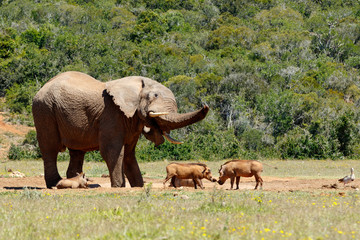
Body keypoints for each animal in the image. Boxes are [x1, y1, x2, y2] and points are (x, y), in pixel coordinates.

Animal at [32, 71, 210, 188]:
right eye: (155, 96)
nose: (205, 105)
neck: (136, 85)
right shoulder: (111, 114)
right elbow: (112, 151)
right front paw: (119, 187)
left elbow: (129, 154)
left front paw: (138, 186)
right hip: (44, 110)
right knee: (50, 148)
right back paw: (55, 183)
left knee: (77, 152)